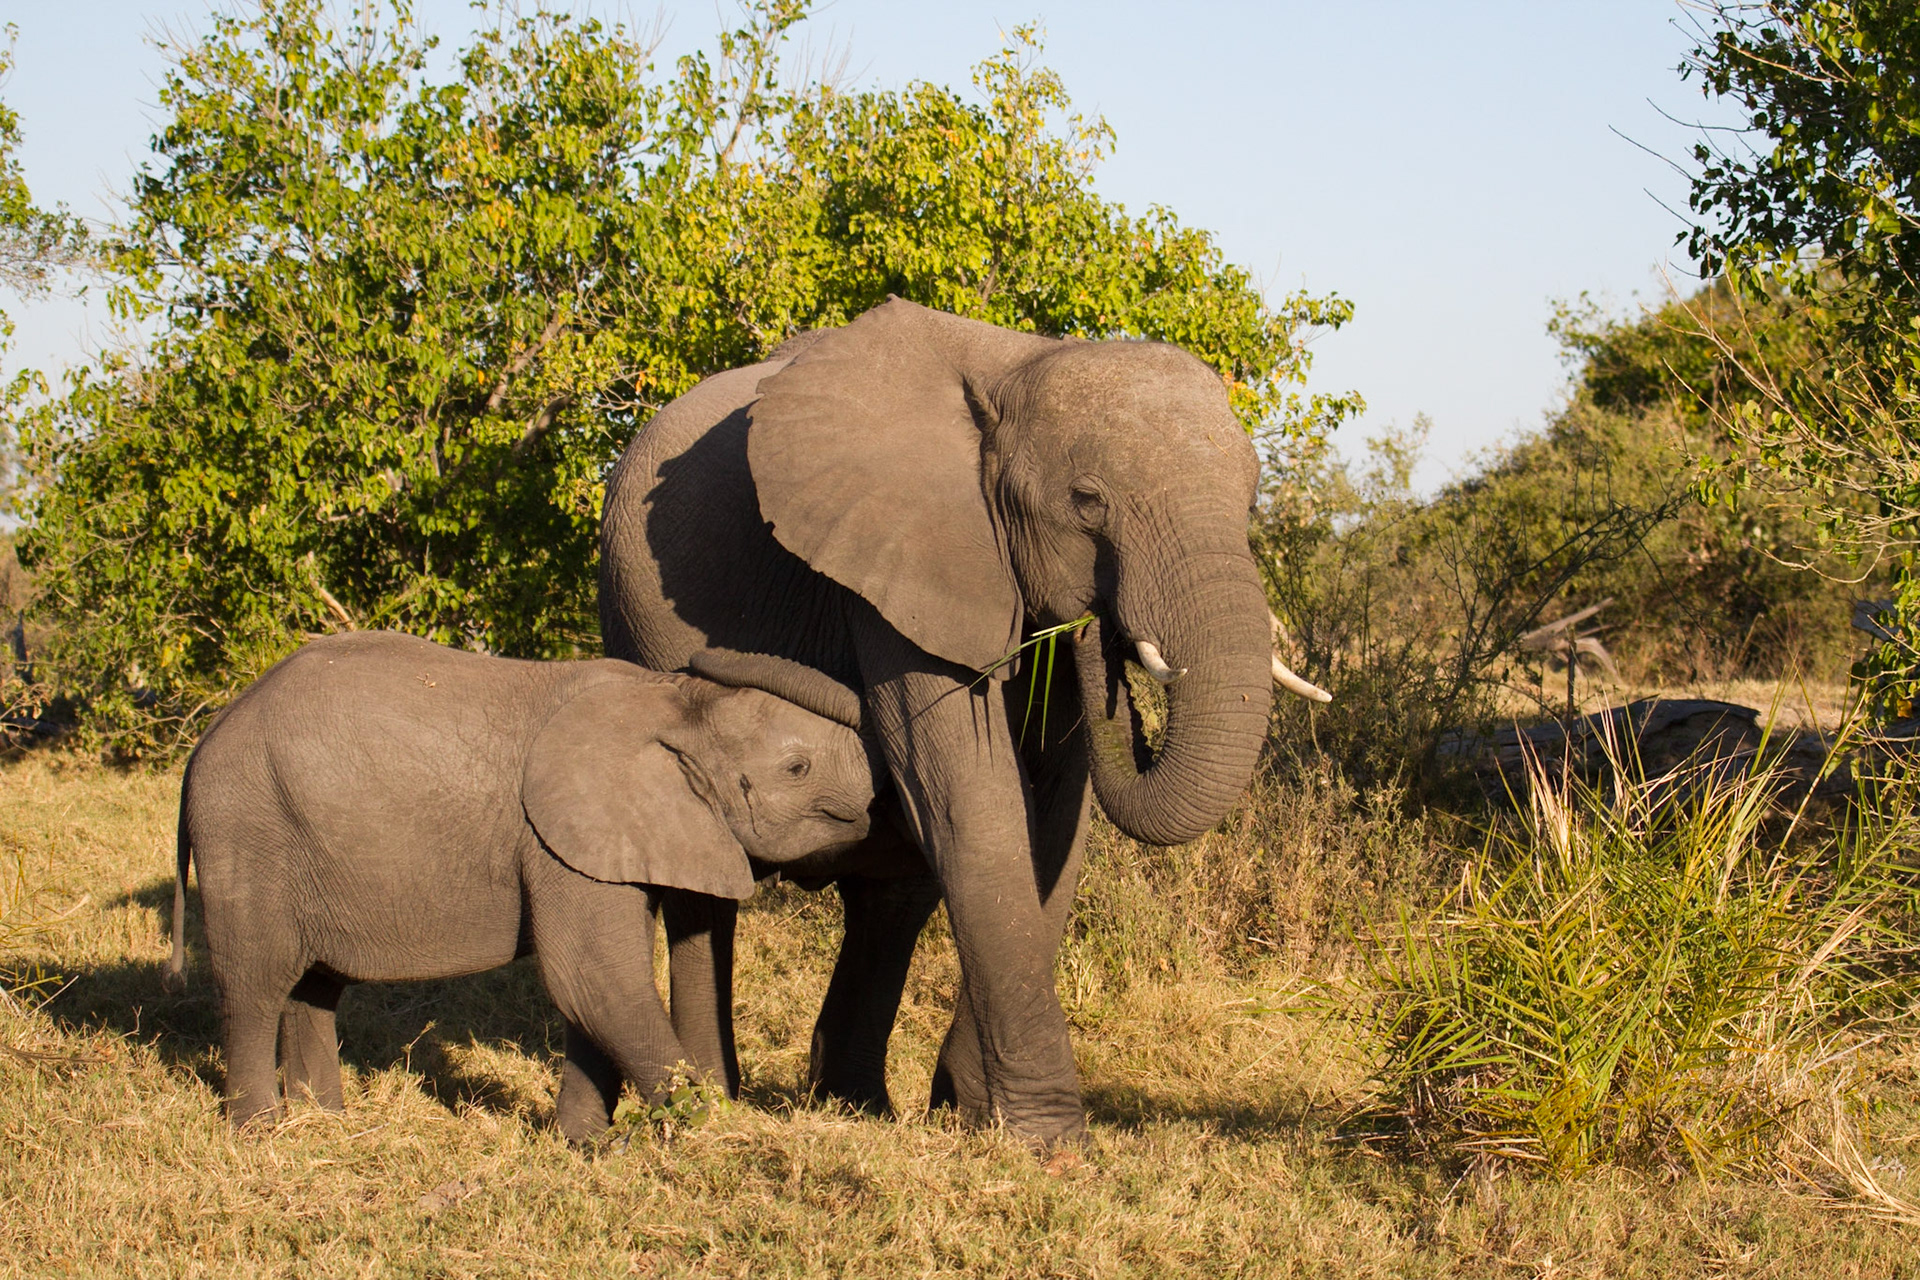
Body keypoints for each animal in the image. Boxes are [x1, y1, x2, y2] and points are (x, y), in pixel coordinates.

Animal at [166, 630, 879, 1139]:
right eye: (798, 768)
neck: (669, 701)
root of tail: (206, 738)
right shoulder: (556, 840)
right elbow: (593, 976)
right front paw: (710, 1138)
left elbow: (596, 987)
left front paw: (588, 1146)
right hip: (248, 830)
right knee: (256, 982)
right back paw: (261, 1137)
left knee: (312, 986)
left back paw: (328, 1127)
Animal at [599, 298, 1329, 1146]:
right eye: (1088, 501)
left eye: (1250, 502)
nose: (1102, 630)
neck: (1014, 373)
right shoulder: (896, 556)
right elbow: (976, 801)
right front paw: (1051, 1144)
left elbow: (1054, 826)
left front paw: (975, 1115)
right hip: (632, 605)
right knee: (706, 882)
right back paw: (718, 1101)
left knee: (892, 898)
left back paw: (855, 1105)